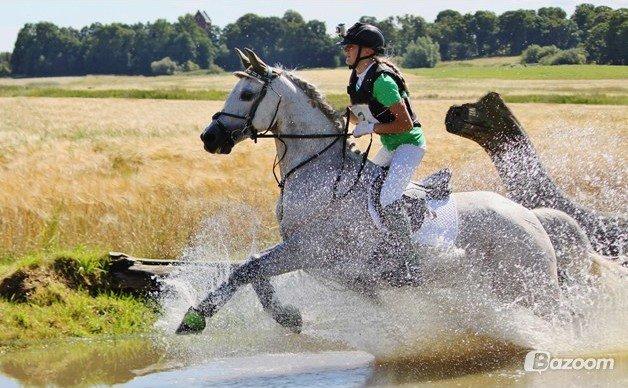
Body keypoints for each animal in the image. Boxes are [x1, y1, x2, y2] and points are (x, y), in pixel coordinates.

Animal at [175, 48, 564, 334]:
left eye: (246, 94)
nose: (209, 138)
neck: (319, 172)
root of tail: (529, 215)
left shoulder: (310, 250)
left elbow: (248, 268)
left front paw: (195, 317)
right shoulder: (336, 269)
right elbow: (253, 269)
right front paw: (288, 316)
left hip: (533, 288)